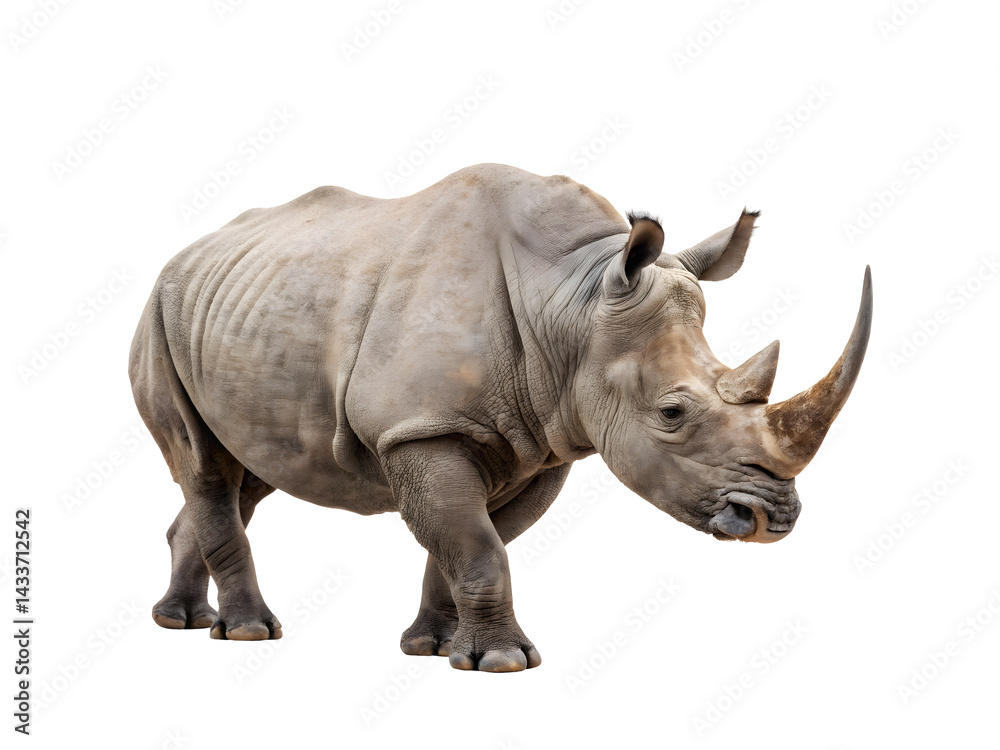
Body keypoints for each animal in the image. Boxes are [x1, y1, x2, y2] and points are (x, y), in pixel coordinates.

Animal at [129, 163, 871, 672]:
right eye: (672, 411)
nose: (771, 519)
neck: (574, 299)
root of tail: (186, 252)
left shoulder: (545, 439)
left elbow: (466, 542)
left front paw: (435, 647)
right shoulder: (422, 427)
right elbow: (475, 544)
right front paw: (504, 663)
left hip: (239, 312)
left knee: (246, 472)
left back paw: (182, 622)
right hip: (160, 315)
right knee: (205, 466)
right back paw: (249, 633)